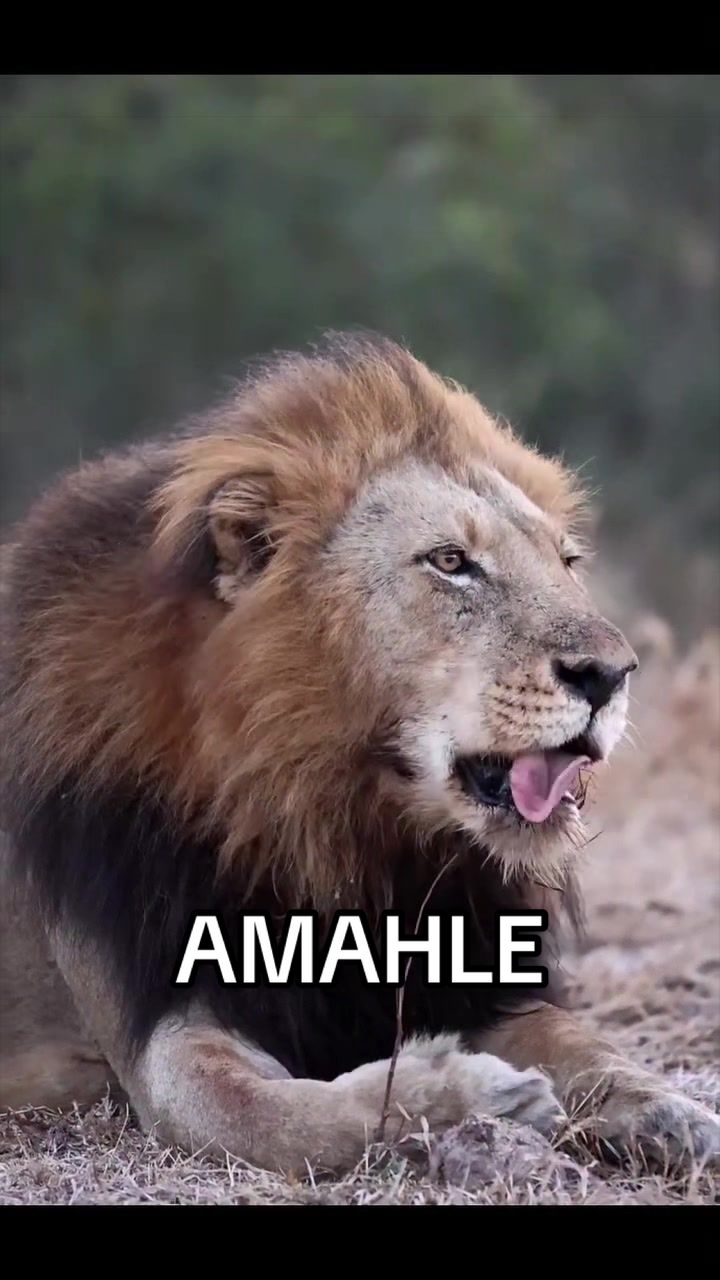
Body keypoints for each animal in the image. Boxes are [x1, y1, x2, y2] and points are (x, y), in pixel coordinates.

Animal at [1, 333, 718, 1173]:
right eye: (450, 562)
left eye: (567, 563)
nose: (612, 673)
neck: (338, 828)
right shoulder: (160, 1024)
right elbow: (255, 1111)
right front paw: (472, 1095)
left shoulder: (471, 976)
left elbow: (587, 1044)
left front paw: (670, 1111)